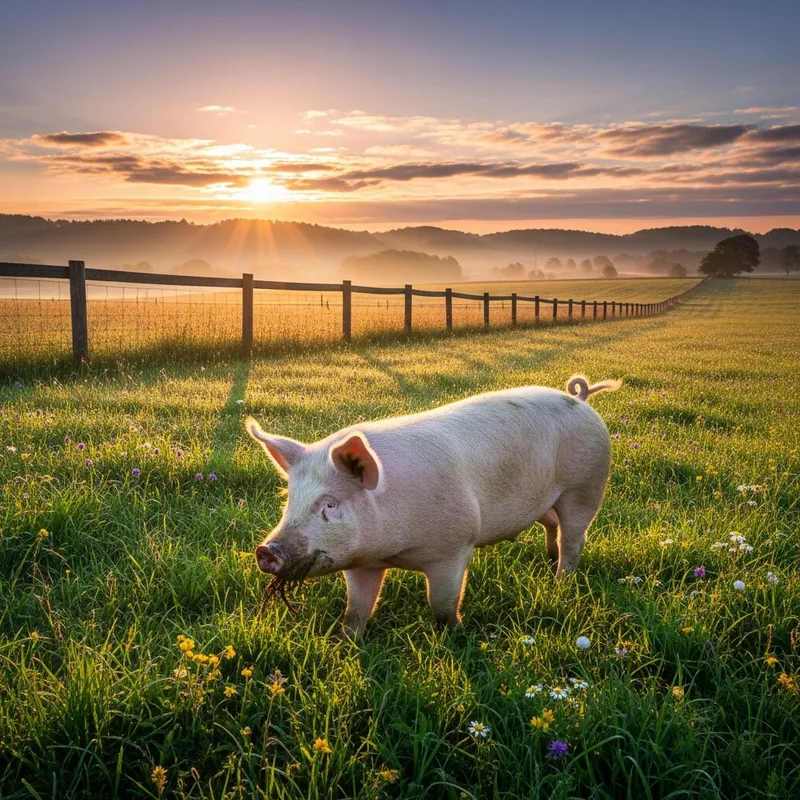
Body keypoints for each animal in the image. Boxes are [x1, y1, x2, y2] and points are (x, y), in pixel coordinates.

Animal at [247, 375, 621, 638]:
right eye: (290, 500)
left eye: (330, 504)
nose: (266, 550)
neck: (391, 551)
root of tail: (579, 399)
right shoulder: (360, 563)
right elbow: (356, 608)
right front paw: (346, 641)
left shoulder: (454, 547)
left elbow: (441, 603)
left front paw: (456, 634)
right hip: (549, 499)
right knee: (552, 526)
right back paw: (549, 559)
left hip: (585, 486)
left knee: (574, 539)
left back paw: (559, 582)